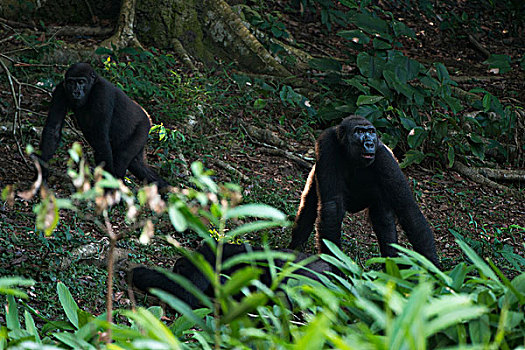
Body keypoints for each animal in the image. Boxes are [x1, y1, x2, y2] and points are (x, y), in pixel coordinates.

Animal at [39, 63, 168, 189]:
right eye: (71, 82)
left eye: (81, 82)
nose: (75, 92)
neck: (92, 86)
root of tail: (148, 117)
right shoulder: (61, 89)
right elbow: (53, 129)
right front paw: (41, 172)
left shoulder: (102, 93)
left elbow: (101, 139)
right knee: (137, 165)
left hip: (143, 127)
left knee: (122, 158)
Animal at [288, 114, 440, 266]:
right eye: (359, 131)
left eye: (371, 132)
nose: (369, 143)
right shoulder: (327, 144)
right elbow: (332, 207)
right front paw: (333, 263)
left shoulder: (385, 157)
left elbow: (408, 209)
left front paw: (432, 266)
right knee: (309, 206)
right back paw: (294, 251)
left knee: (383, 220)